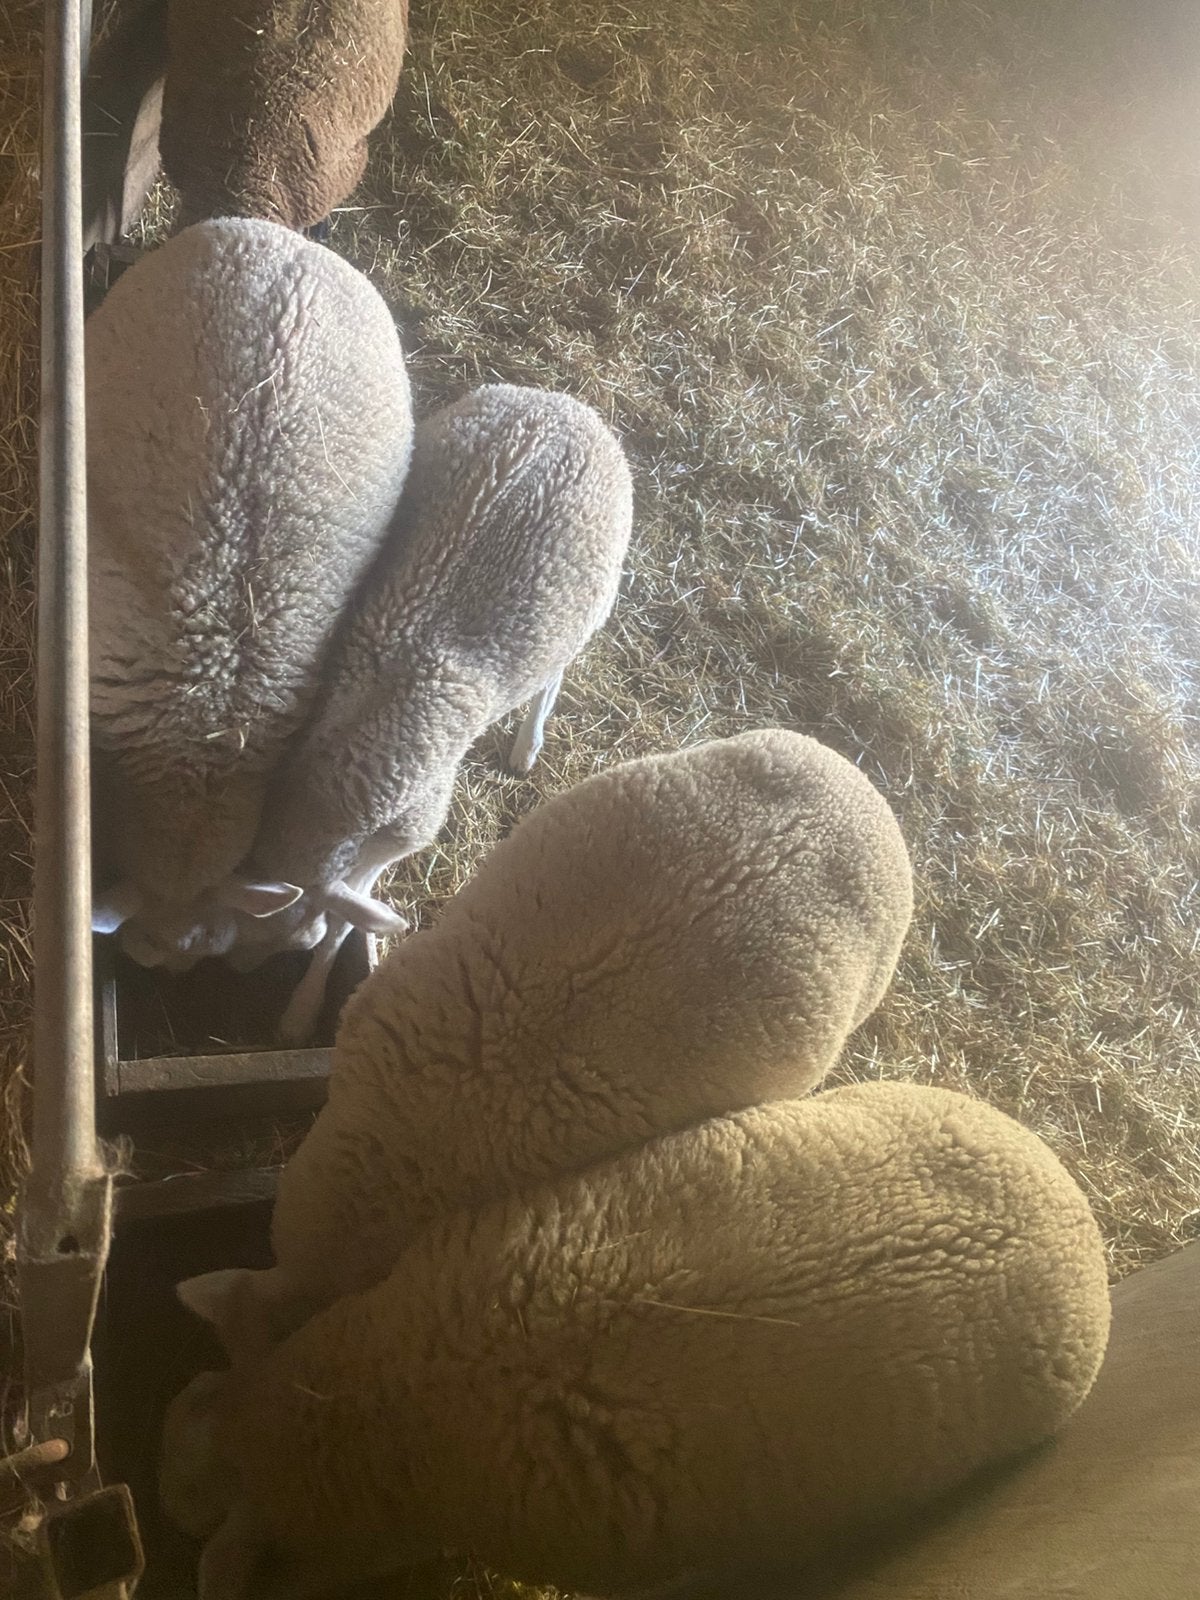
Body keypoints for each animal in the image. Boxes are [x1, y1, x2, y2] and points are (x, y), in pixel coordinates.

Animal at [221, 382, 635, 1044]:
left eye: (289, 939)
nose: (237, 971)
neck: (354, 748)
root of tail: (568, 406)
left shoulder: (406, 831)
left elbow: (346, 923)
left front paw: (301, 1010)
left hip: (591, 605)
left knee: (552, 675)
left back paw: (527, 745)